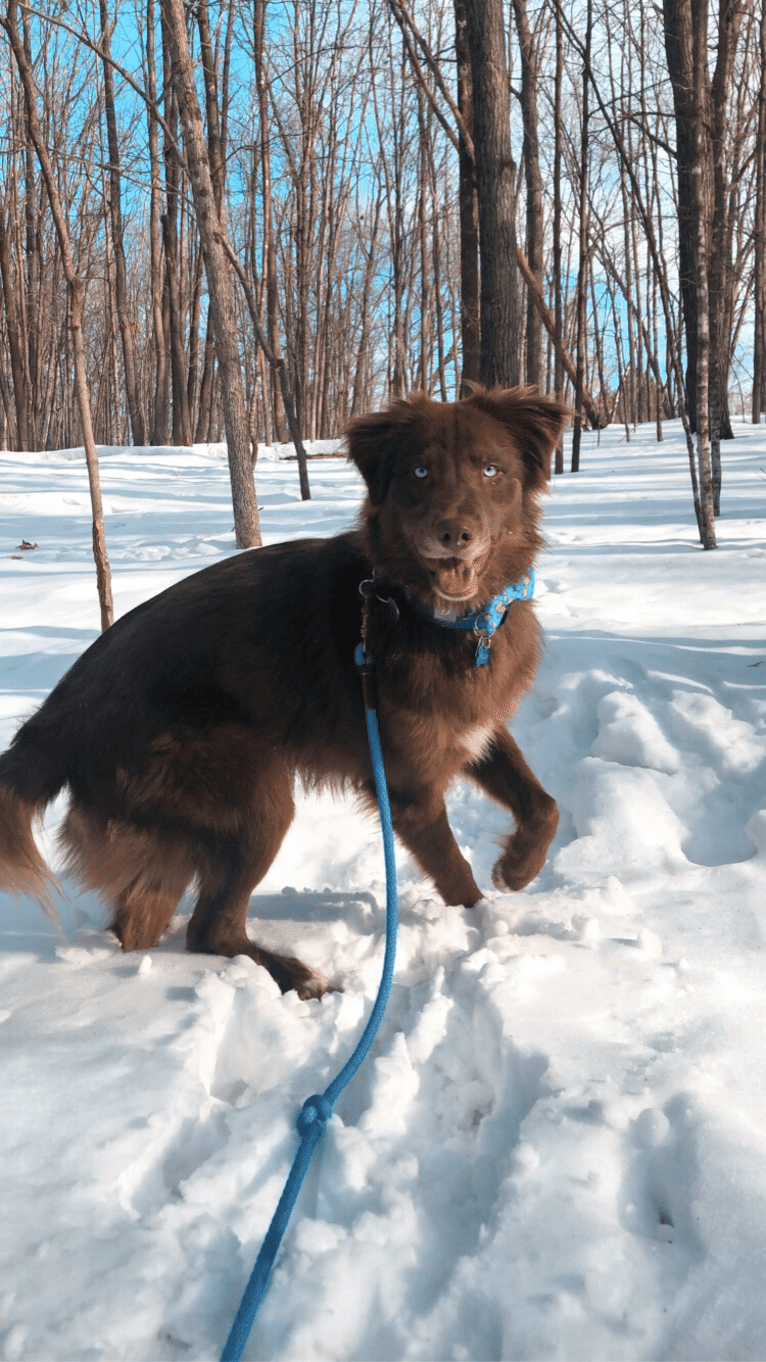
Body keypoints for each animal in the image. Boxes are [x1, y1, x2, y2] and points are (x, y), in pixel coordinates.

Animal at [0, 389, 567, 996]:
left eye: (491, 470)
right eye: (420, 472)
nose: (454, 534)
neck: (441, 618)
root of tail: (55, 719)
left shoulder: (474, 728)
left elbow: (544, 804)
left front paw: (517, 868)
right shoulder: (408, 786)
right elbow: (456, 872)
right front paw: (484, 925)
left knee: (142, 926)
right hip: (252, 795)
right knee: (209, 929)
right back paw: (300, 978)